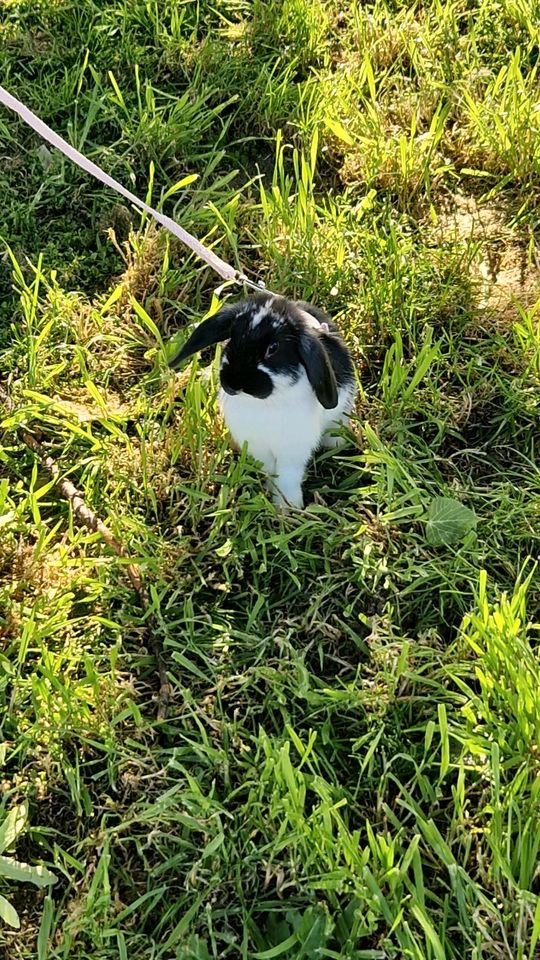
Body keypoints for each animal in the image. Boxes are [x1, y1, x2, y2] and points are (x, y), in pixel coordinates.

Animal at [169, 294, 354, 510]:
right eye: (232, 338)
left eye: (272, 349)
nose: (234, 384)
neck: (264, 403)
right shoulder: (257, 446)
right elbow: (270, 470)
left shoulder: (292, 450)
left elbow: (287, 477)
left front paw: (288, 507)